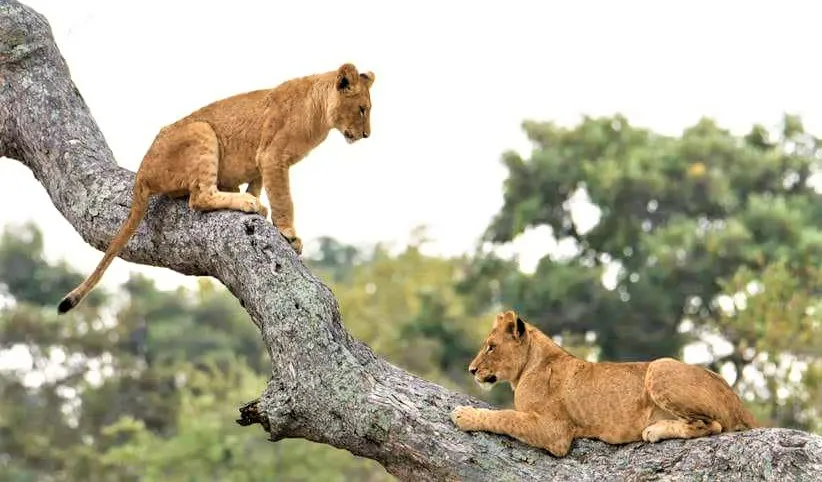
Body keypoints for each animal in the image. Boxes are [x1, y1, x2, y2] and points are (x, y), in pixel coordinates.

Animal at [57, 63, 375, 314]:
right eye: (362, 109)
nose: (366, 135)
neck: (319, 112)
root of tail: (142, 173)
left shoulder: (260, 164)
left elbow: (258, 185)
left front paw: (256, 201)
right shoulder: (272, 157)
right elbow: (283, 198)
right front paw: (288, 233)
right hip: (202, 132)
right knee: (199, 197)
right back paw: (248, 204)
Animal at [451, 310, 758, 457]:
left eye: (491, 347)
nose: (471, 370)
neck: (529, 364)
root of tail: (739, 401)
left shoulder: (555, 432)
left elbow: (505, 417)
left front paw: (464, 415)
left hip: (658, 367)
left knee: (712, 425)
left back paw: (654, 430)